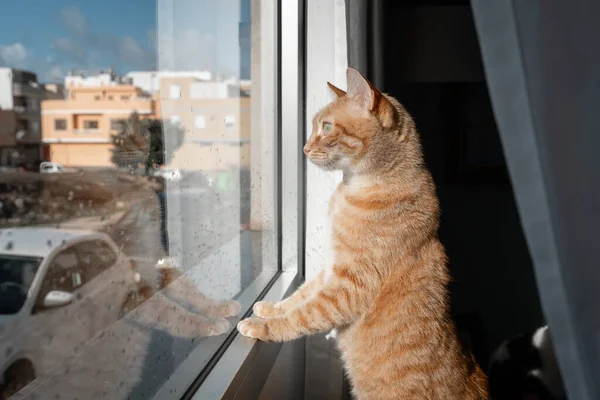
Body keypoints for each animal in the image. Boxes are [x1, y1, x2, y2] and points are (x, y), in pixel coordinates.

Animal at [236, 69, 488, 400]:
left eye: (327, 127)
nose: (304, 149)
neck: (353, 188)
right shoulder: (330, 267)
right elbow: (301, 295)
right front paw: (271, 309)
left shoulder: (348, 285)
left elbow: (305, 314)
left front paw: (263, 327)